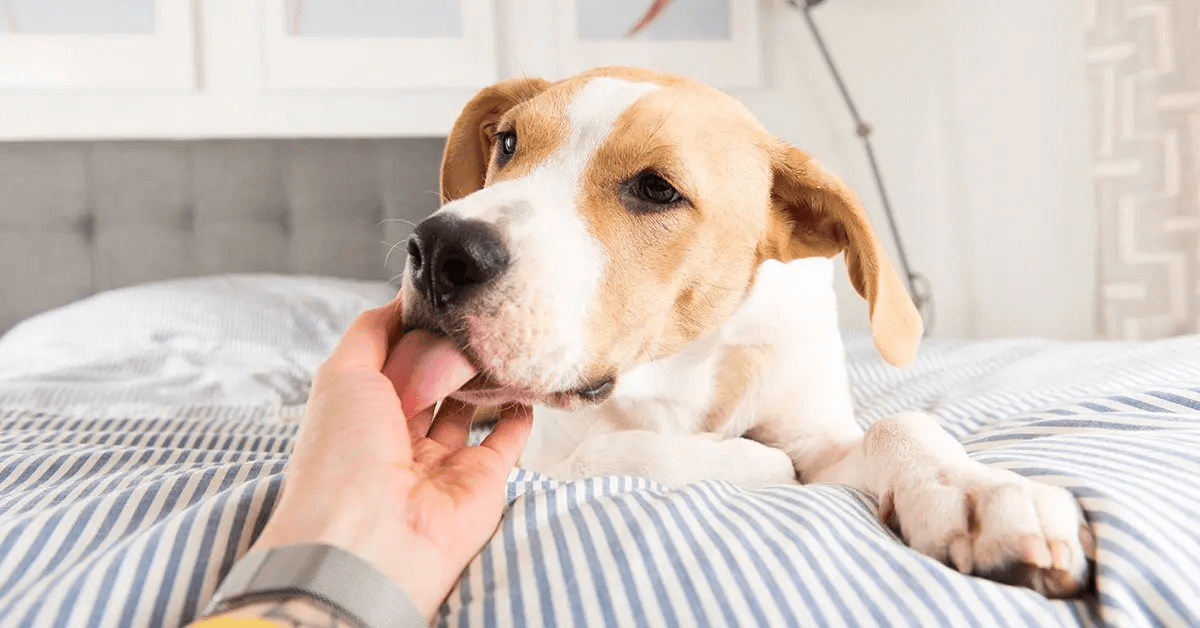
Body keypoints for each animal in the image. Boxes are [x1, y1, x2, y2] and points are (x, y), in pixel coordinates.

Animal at [403, 66, 1099, 597]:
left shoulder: (820, 436)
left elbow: (897, 426)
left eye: (656, 188)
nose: (437, 251)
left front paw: (975, 490)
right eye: (508, 144)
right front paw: (753, 462)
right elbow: (618, 450)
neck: (686, 362)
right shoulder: (545, 448)